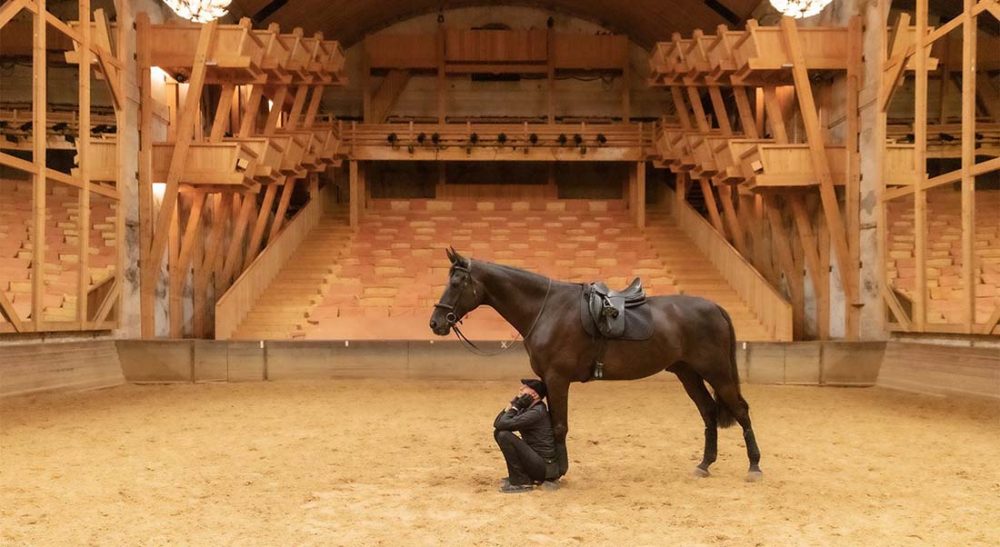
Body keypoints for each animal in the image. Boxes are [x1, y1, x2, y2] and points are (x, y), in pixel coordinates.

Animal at [426, 250, 760, 482]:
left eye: (456, 282)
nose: (436, 322)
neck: (547, 309)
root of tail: (716, 307)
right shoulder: (546, 379)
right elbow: (552, 423)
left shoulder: (557, 378)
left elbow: (559, 426)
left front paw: (556, 473)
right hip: (688, 373)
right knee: (708, 412)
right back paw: (705, 465)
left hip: (717, 372)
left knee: (740, 411)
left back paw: (754, 466)